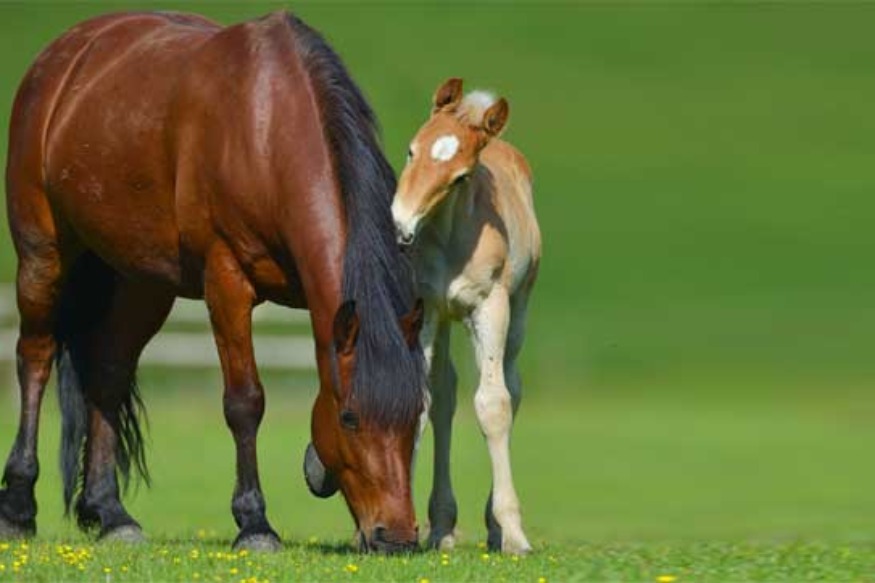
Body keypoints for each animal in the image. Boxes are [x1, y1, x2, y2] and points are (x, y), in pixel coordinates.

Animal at [0, 11, 424, 556]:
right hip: (42, 254)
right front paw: (255, 523)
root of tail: (63, 56)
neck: (267, 130)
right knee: (34, 357)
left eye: (414, 415)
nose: (398, 537)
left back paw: (111, 513)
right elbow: (245, 402)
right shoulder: (226, 281)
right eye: (350, 418)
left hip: (142, 281)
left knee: (108, 373)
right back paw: (18, 506)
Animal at [392, 78, 540, 556]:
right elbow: (420, 400)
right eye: (411, 151)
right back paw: (442, 527)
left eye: (460, 177)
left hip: (517, 311)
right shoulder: (425, 306)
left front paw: (513, 533)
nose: (400, 224)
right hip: (443, 321)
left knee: (511, 387)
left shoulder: (490, 306)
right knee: (444, 395)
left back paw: (494, 527)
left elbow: (493, 405)